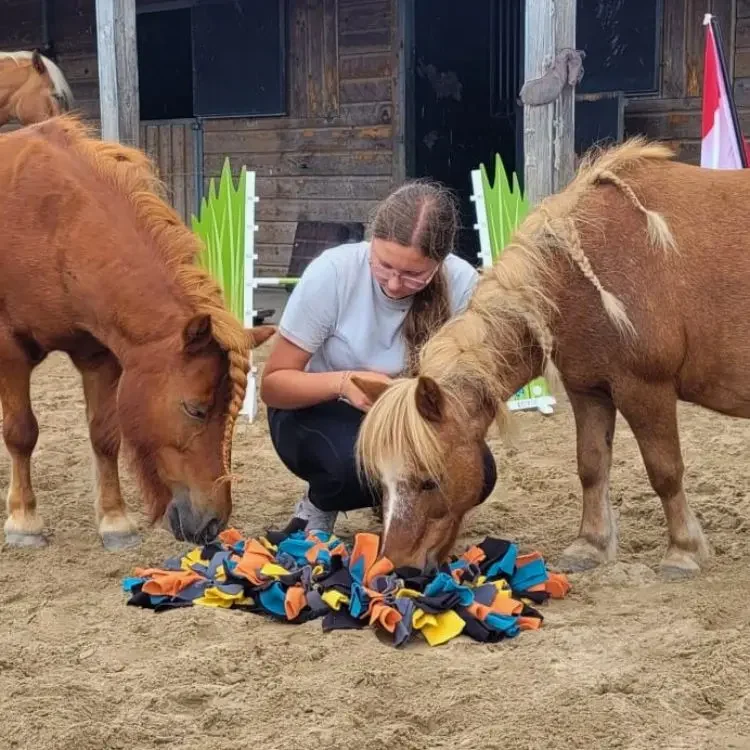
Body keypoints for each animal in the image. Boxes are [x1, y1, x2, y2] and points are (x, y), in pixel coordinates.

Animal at [0, 115, 276, 551]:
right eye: (195, 409)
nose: (212, 525)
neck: (52, 224)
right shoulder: (10, 350)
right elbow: (21, 433)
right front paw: (24, 521)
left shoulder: (98, 355)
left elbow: (103, 435)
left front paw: (115, 521)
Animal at [352, 137, 750, 580]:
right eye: (381, 482)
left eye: (428, 481)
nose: (395, 568)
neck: (583, 268)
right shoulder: (589, 390)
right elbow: (591, 466)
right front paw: (590, 546)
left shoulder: (645, 390)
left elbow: (665, 471)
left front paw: (683, 551)